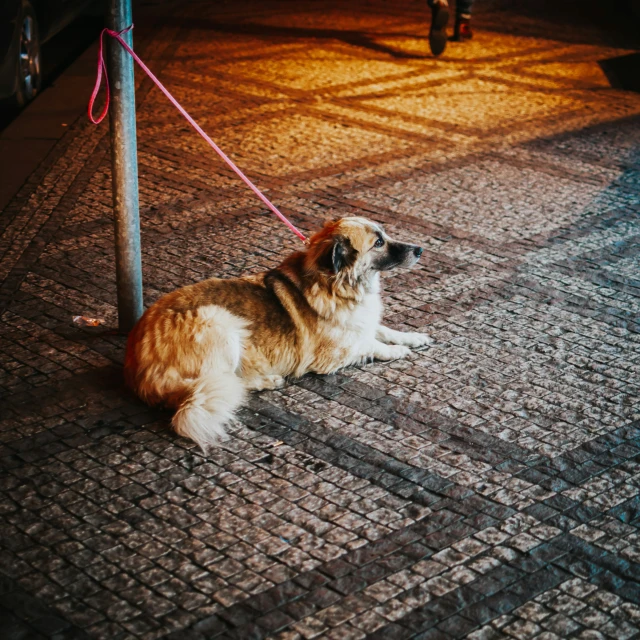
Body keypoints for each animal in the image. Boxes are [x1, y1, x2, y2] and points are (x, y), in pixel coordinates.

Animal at [124, 218, 436, 448]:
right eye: (379, 242)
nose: (420, 249)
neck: (337, 283)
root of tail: (138, 369)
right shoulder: (334, 353)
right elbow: (371, 344)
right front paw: (396, 350)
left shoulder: (360, 325)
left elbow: (382, 330)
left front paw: (413, 337)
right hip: (218, 321)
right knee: (225, 383)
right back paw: (265, 381)